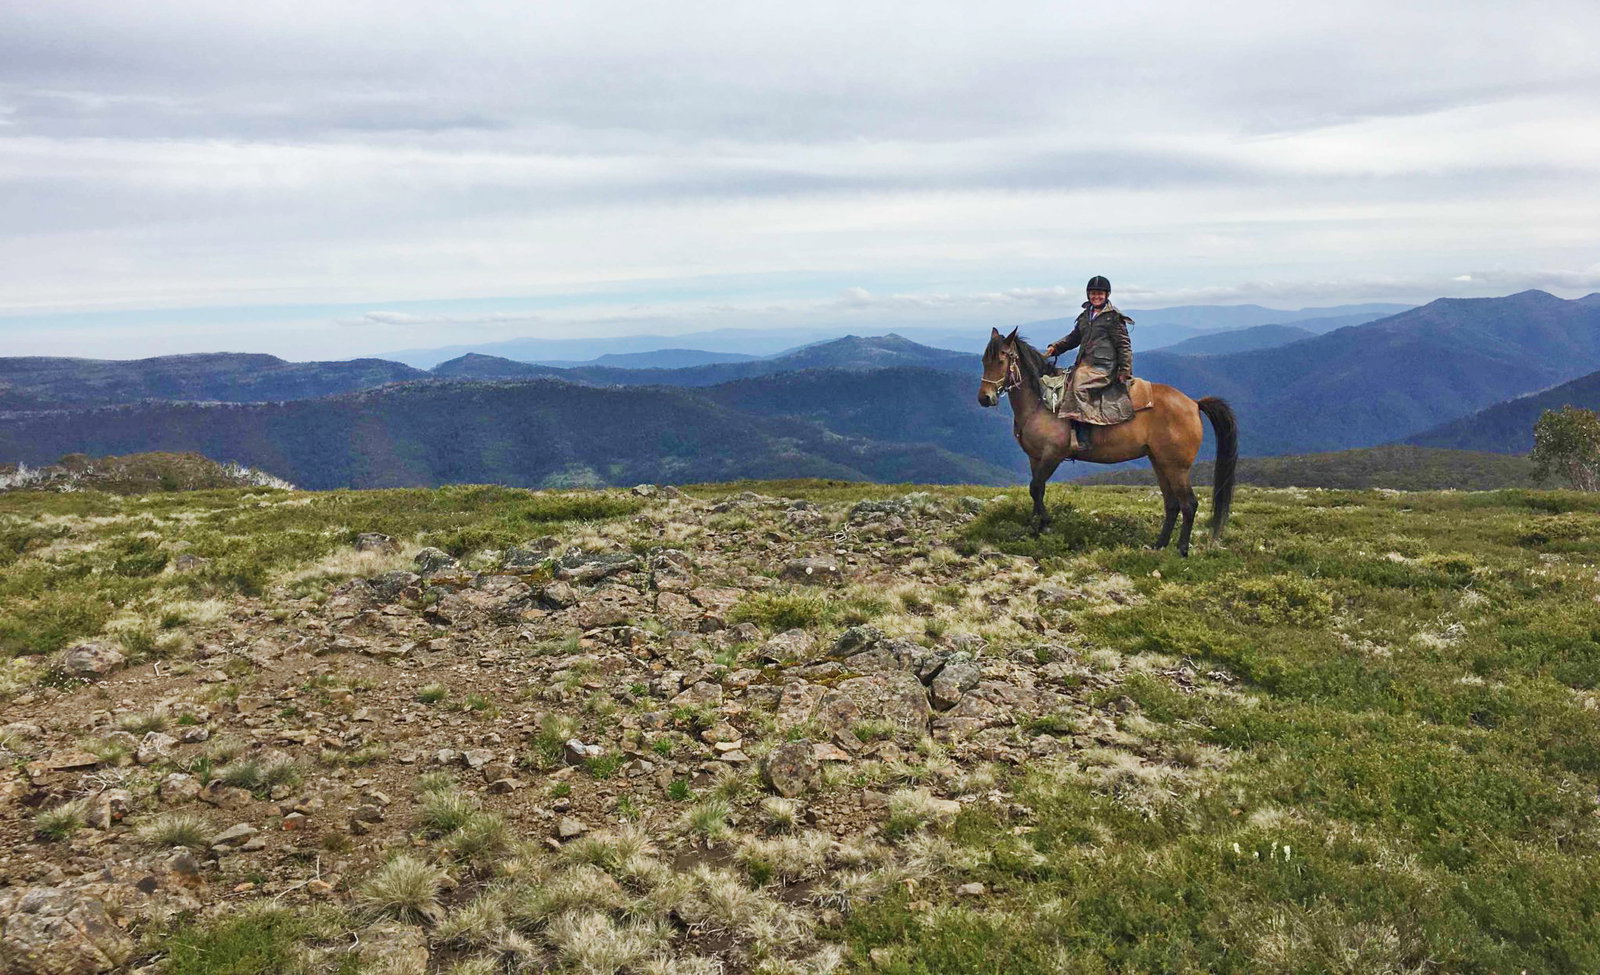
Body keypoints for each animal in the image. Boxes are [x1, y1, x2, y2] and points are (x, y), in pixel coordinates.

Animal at [978, 327, 1237, 556]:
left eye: (1000, 361)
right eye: (983, 361)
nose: (984, 398)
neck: (1042, 402)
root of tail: (1193, 403)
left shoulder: (1053, 455)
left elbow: (1035, 487)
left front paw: (1046, 523)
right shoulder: (1035, 458)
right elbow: (1037, 490)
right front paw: (1036, 526)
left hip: (1177, 467)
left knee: (1189, 504)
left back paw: (1182, 549)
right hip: (1159, 462)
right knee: (1172, 503)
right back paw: (1159, 545)